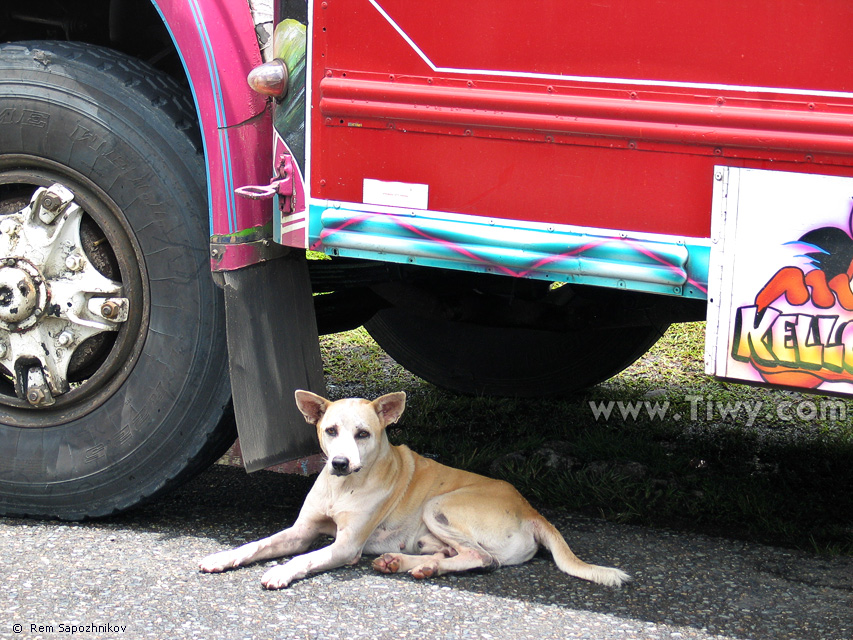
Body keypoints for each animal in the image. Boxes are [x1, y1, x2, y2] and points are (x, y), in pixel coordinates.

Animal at [198, 390, 624, 592]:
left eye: (363, 434)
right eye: (330, 430)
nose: (339, 463)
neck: (345, 487)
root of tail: (533, 511)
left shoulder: (345, 546)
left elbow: (305, 558)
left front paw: (282, 571)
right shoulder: (301, 531)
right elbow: (258, 544)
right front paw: (223, 556)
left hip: (440, 505)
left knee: (483, 559)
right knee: (461, 557)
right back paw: (409, 563)